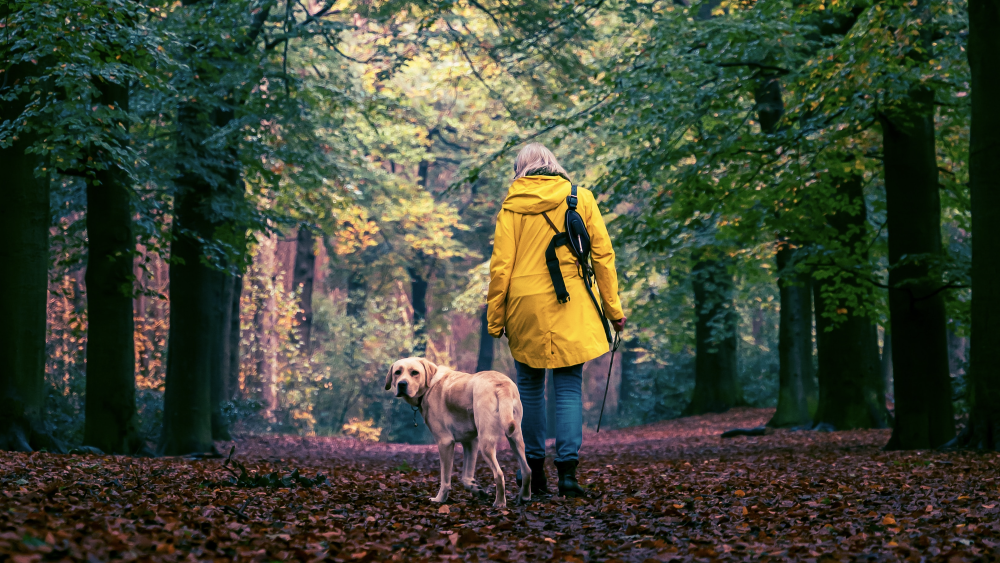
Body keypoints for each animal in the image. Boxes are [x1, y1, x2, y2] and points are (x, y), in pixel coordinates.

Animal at [386, 360, 536, 508]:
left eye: (414, 372)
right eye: (397, 372)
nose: (402, 384)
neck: (430, 385)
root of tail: (500, 384)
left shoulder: (445, 442)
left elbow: (445, 479)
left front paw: (440, 499)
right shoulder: (470, 442)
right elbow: (466, 477)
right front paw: (476, 490)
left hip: (486, 444)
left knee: (499, 474)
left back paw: (499, 503)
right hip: (515, 439)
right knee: (527, 470)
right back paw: (524, 497)